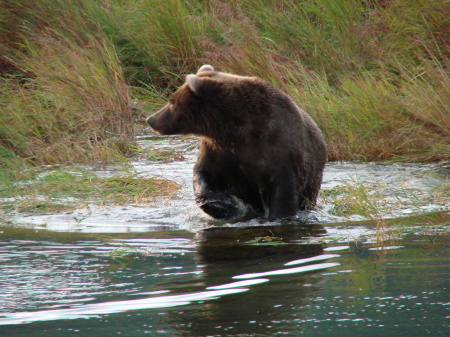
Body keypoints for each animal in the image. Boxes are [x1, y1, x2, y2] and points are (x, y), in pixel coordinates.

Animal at [148, 64, 326, 220]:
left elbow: (283, 189)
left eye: (172, 102)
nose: (151, 119)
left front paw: (279, 216)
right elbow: (204, 174)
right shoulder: (219, 149)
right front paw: (223, 205)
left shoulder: (277, 147)